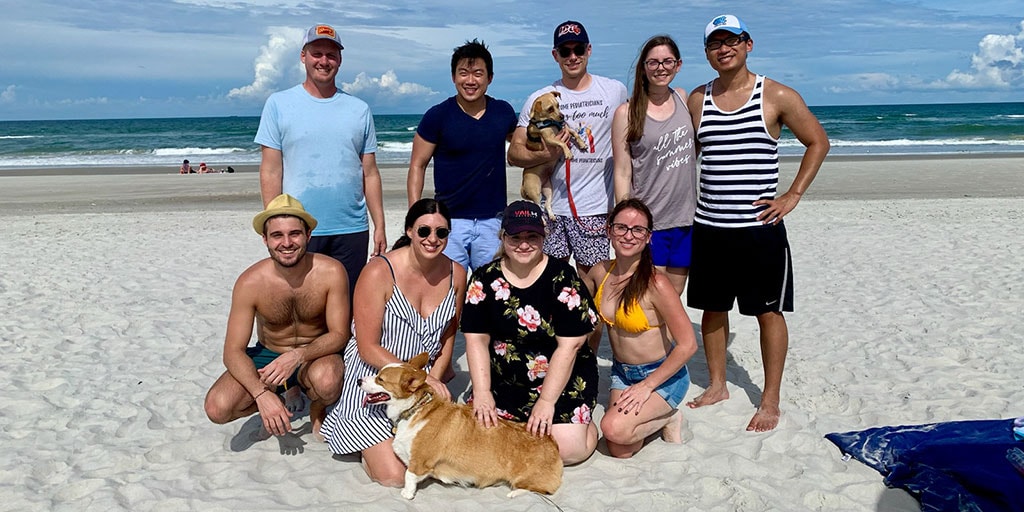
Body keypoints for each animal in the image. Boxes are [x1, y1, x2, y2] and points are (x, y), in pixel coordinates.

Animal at [360, 354, 565, 497]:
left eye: (380, 379)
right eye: (378, 374)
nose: (358, 380)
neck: (414, 409)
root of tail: (552, 443)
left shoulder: (419, 461)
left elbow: (408, 475)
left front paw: (407, 494)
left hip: (526, 479)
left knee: (539, 490)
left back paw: (514, 493)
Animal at [524, 91, 589, 219]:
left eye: (558, 105)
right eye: (550, 109)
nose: (562, 116)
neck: (550, 122)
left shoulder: (565, 129)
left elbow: (574, 133)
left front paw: (582, 144)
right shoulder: (549, 139)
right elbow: (562, 143)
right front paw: (568, 152)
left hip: (548, 190)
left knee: (546, 205)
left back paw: (552, 216)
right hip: (535, 192)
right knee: (537, 207)